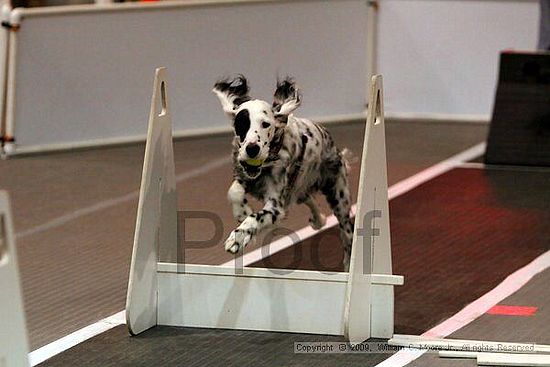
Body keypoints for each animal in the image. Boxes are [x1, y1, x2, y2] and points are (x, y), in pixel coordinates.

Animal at [213, 75, 356, 270]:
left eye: (266, 124)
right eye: (241, 124)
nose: (252, 149)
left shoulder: (275, 206)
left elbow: (255, 218)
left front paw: (238, 238)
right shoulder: (246, 176)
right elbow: (233, 191)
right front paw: (241, 211)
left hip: (338, 197)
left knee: (347, 234)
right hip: (299, 188)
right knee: (308, 198)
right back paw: (318, 220)